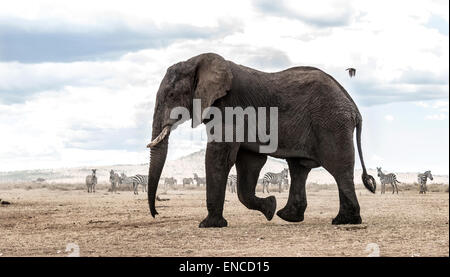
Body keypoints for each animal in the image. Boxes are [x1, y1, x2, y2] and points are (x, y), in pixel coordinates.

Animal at [147, 51, 376, 226]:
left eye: (171, 96)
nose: (156, 213)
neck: (198, 62)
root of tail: (354, 107)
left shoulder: (229, 108)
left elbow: (219, 156)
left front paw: (209, 225)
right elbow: (249, 163)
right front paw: (270, 207)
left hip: (332, 124)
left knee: (339, 169)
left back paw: (344, 221)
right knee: (299, 168)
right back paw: (288, 216)